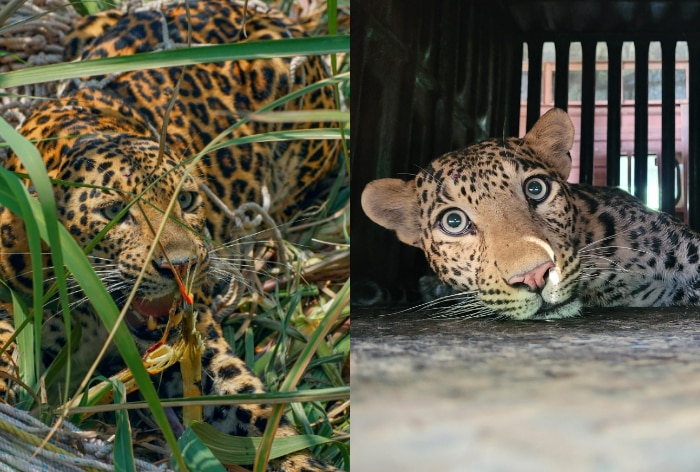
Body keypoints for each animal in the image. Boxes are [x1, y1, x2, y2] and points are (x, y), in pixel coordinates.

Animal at [0, 1, 342, 470]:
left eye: (189, 200)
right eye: (114, 213)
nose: (183, 265)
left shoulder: (203, 350)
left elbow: (255, 413)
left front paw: (300, 458)